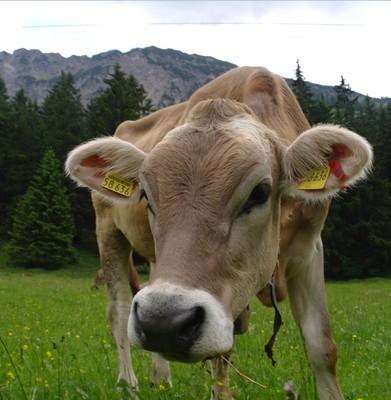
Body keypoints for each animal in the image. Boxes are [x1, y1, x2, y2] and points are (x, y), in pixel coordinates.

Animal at [65, 67, 374, 398]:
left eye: (260, 193)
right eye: (146, 195)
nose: (163, 324)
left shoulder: (310, 249)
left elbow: (322, 346)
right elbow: (221, 358)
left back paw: (161, 378)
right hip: (108, 231)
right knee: (120, 310)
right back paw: (128, 382)